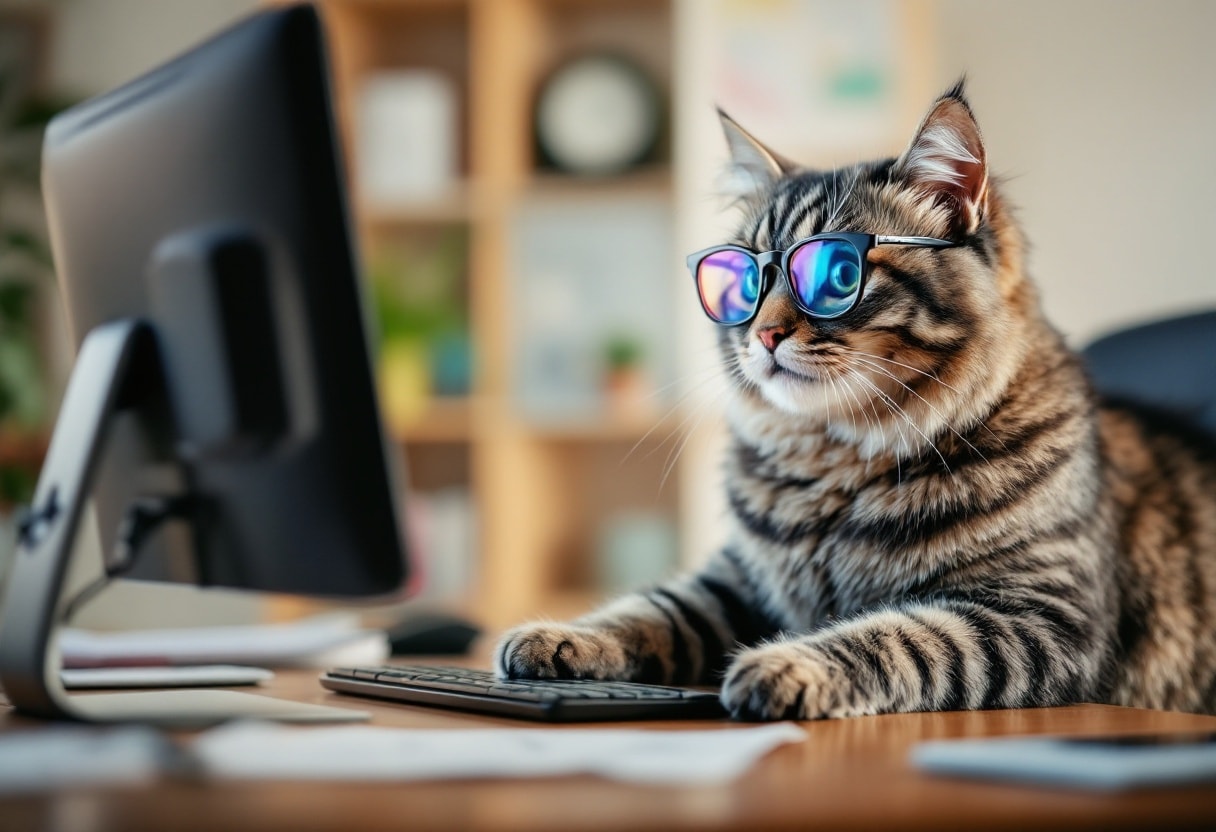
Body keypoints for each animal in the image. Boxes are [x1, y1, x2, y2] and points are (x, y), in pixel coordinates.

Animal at [488, 84, 1211, 720]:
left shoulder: (1036, 614)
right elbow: (650, 609)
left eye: (836, 274)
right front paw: (560, 636)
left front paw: (783, 665)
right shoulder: (736, 582)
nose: (763, 334)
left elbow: (896, 637)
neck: (835, 462)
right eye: (743, 280)